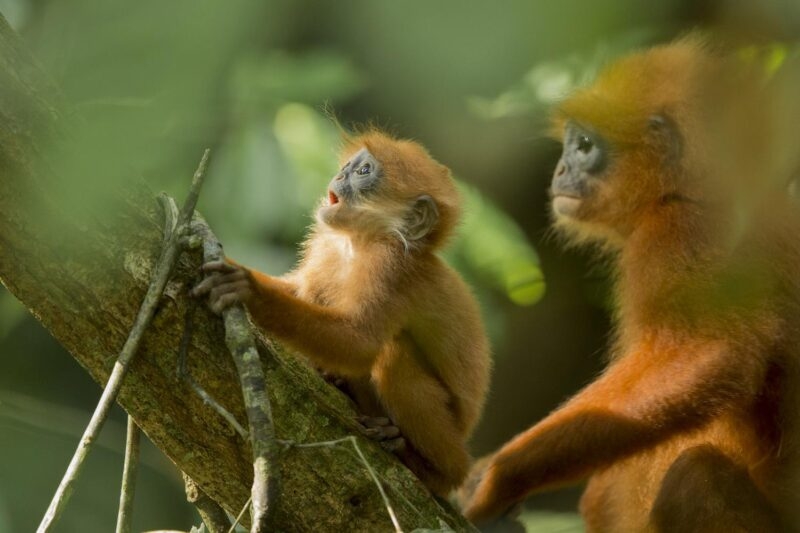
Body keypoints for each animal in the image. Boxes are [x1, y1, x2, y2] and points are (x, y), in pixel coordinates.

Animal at [193, 129, 492, 496]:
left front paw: (249, 290)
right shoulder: (327, 244)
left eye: (363, 172)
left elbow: (360, 345)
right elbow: (301, 289)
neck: (356, 244)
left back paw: (428, 466)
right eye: (351, 165)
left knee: (393, 356)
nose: (340, 174)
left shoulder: (391, 267)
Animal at [460, 36, 800, 531]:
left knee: (695, 475)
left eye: (584, 146)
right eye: (570, 144)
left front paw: (501, 476)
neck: (688, 192)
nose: (560, 171)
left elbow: (711, 354)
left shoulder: (683, 235)